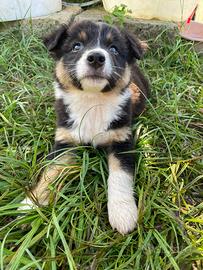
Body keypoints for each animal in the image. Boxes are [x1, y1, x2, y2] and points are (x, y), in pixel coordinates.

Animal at [18, 19, 149, 234]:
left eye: (114, 49)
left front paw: (123, 213)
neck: (92, 99)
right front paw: (31, 205)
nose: (96, 57)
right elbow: (49, 172)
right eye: (76, 46)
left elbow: (120, 175)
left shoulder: (122, 140)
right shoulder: (65, 140)